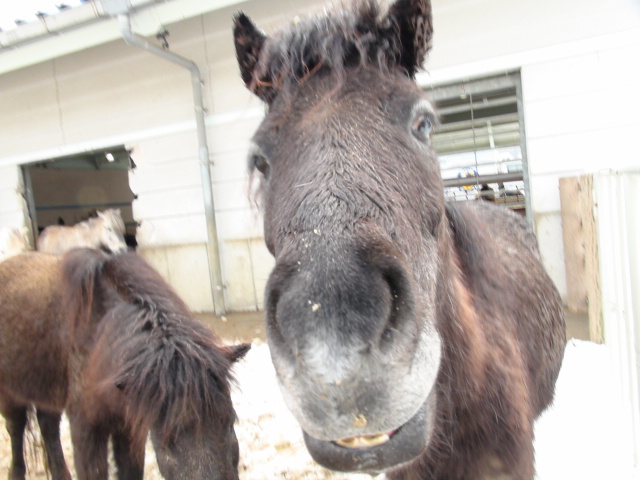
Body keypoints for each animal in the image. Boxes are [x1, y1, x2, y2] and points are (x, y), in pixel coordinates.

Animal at [0, 251, 249, 480]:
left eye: (230, 422)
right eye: (166, 440)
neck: (98, 335)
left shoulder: (128, 427)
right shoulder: (86, 428)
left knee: (48, 427)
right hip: (11, 396)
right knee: (16, 430)